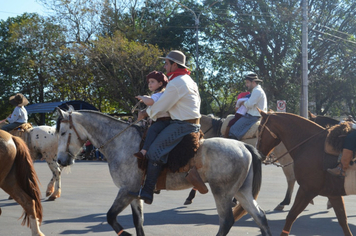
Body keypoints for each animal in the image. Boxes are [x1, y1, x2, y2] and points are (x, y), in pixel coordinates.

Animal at [56, 109, 272, 236]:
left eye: (63, 132)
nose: (60, 160)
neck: (121, 142)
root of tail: (244, 146)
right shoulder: (134, 194)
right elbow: (138, 222)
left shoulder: (126, 190)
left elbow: (110, 217)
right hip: (241, 192)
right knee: (260, 217)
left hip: (223, 192)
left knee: (227, 221)